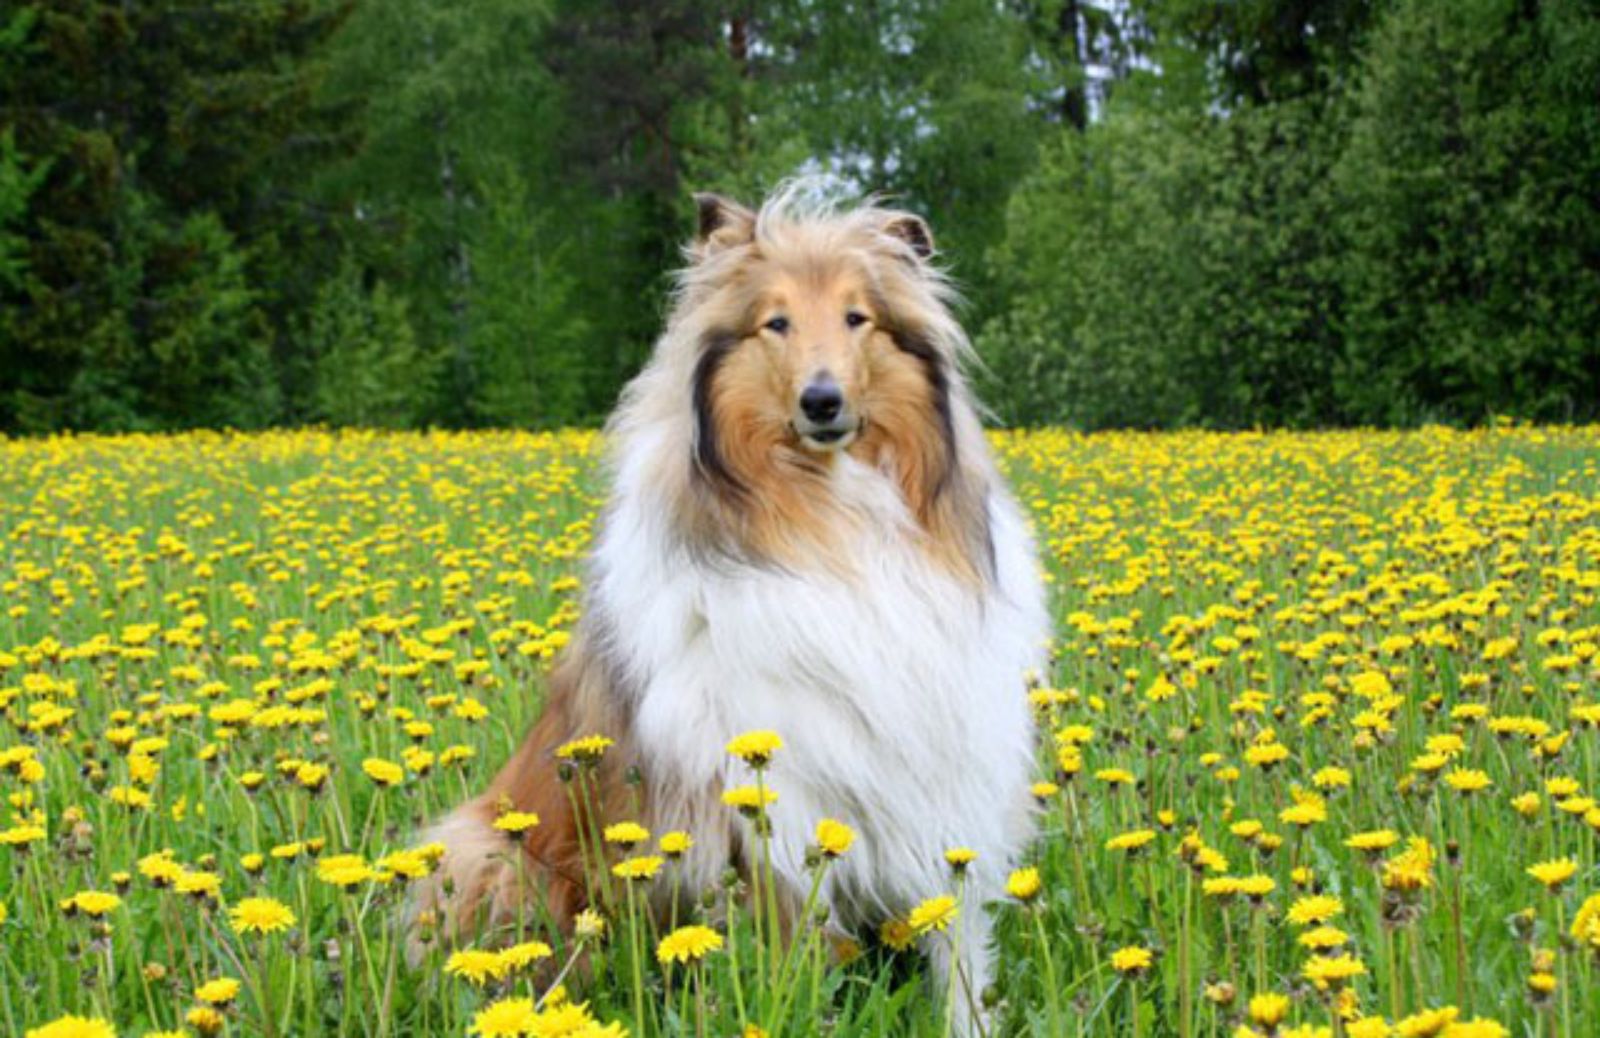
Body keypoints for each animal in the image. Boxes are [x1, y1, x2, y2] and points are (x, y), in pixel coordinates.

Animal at [409, 183, 1049, 1010]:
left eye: (857, 316)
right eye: (775, 322)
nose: (822, 401)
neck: (832, 517)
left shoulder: (944, 769)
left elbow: (956, 943)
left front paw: (963, 1016)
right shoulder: (772, 795)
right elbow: (799, 946)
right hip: (486, 854)